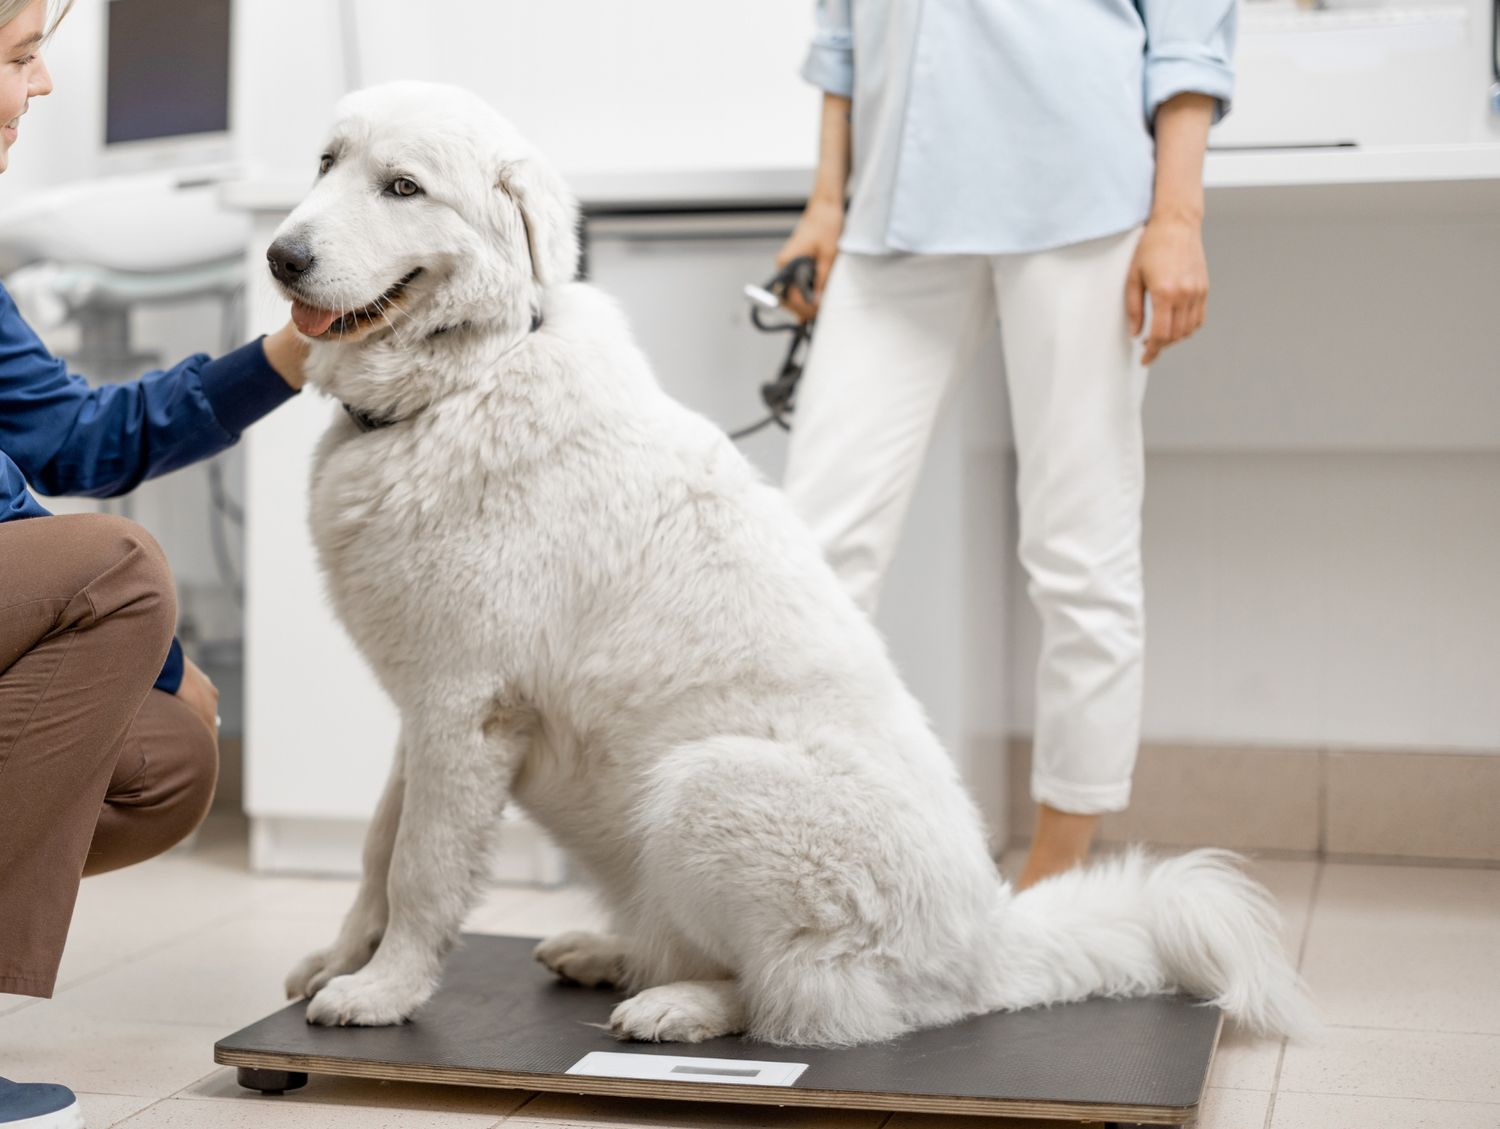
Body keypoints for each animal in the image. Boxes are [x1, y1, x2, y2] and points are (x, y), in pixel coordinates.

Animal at [270, 81, 1314, 1049]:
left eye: (403, 186)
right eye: (326, 163)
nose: (281, 256)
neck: (461, 384)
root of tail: (989, 944)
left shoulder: (466, 707)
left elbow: (422, 869)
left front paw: (384, 990)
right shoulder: (426, 710)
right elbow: (376, 851)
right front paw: (341, 958)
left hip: (706, 785)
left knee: (810, 1002)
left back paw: (678, 1005)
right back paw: (611, 952)